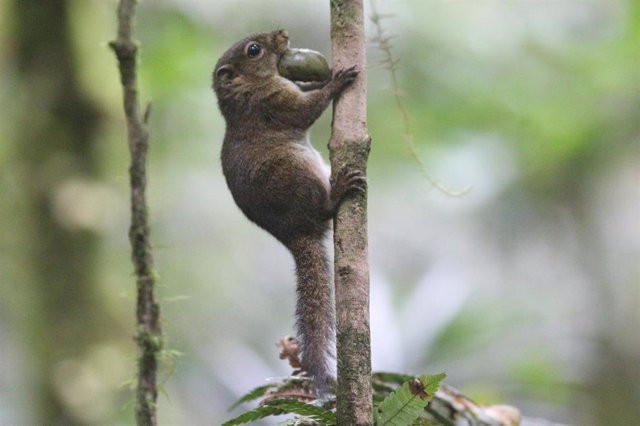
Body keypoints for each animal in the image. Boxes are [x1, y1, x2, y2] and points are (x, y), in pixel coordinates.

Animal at [214, 30, 364, 396]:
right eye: (253, 50)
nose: (282, 34)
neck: (247, 89)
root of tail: (294, 233)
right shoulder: (272, 103)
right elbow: (304, 110)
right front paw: (335, 83)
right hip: (297, 176)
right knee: (323, 209)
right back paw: (338, 192)